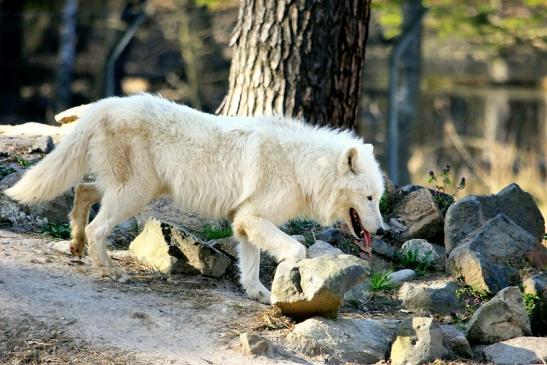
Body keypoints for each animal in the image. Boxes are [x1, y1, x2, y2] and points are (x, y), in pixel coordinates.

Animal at [6, 93, 388, 302]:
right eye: (369, 198)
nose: (383, 230)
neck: (303, 167)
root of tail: (106, 104)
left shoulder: (243, 221)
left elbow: (250, 267)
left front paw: (259, 295)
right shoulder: (252, 217)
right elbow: (296, 249)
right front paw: (286, 282)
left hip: (134, 188)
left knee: (84, 191)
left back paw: (75, 244)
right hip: (136, 193)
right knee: (98, 227)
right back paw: (111, 272)